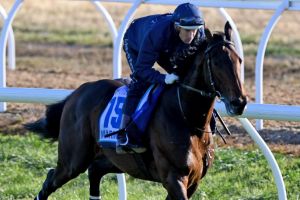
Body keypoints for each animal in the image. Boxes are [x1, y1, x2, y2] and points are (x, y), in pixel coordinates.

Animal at [25, 21, 246, 199]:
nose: (239, 103)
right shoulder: (173, 178)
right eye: (216, 62)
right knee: (52, 178)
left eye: (239, 60)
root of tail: (76, 94)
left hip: (116, 159)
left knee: (94, 170)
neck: (187, 118)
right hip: (74, 159)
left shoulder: (192, 182)